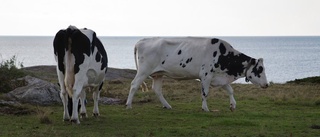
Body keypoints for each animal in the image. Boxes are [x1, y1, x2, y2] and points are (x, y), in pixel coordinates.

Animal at [126, 37, 268, 111]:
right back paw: (128, 105)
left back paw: (167, 106)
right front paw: (205, 108)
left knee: (157, 89)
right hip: (144, 70)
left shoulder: (218, 77)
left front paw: (233, 105)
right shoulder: (206, 75)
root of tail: (142, 41)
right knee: (134, 85)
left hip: (158, 73)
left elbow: (230, 90)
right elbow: (205, 93)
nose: (267, 84)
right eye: (260, 69)